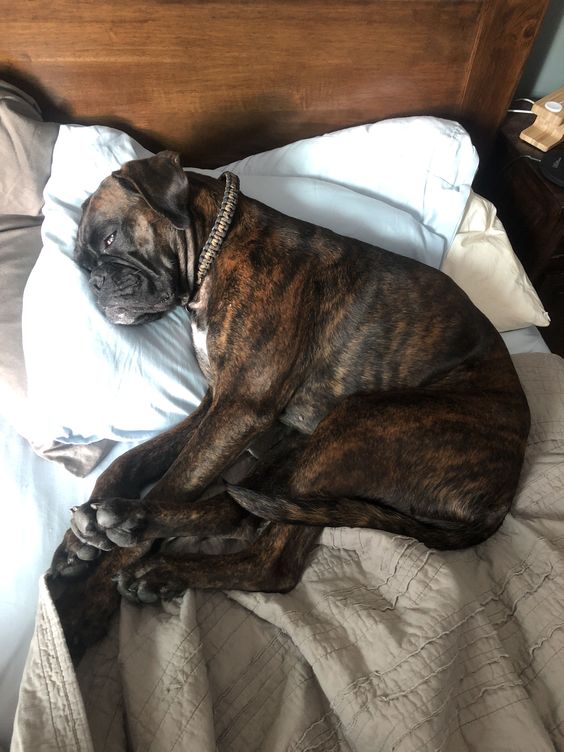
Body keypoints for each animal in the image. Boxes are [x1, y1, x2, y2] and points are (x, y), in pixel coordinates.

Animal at [48, 150, 528, 656]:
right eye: (82, 264)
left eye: (111, 237)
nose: (97, 281)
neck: (217, 249)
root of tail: (501, 495)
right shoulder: (217, 405)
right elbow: (132, 461)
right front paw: (76, 543)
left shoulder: (240, 409)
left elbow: (170, 483)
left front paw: (86, 604)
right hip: (305, 447)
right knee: (242, 511)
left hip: (357, 420)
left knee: (269, 561)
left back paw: (139, 537)